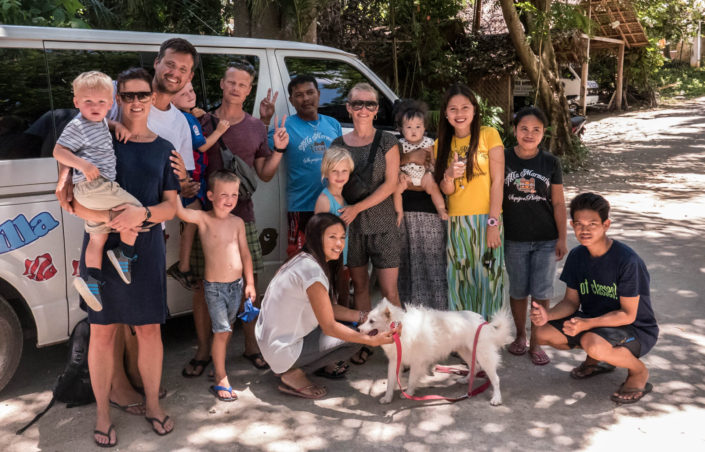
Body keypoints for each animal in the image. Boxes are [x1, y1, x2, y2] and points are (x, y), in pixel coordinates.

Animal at [359, 298, 512, 405]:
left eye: (372, 321)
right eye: (366, 319)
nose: (358, 329)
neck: (401, 330)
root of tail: (484, 322)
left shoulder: (417, 362)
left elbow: (411, 380)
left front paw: (408, 393)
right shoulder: (395, 361)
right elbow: (391, 381)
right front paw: (387, 398)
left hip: (483, 354)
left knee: (495, 378)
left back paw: (496, 398)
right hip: (465, 351)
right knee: (476, 367)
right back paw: (466, 380)